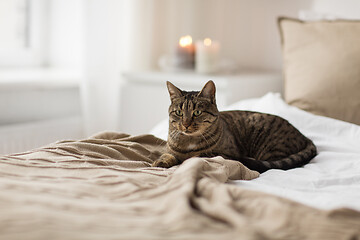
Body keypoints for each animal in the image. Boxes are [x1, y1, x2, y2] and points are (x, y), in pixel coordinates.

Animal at [153, 80, 318, 172]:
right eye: (179, 112)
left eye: (197, 112)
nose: (185, 124)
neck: (189, 142)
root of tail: (304, 137)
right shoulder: (169, 149)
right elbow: (167, 155)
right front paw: (160, 162)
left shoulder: (226, 154)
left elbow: (198, 156)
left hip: (271, 147)